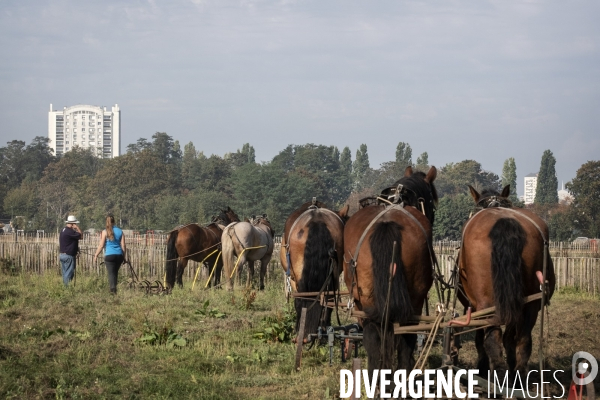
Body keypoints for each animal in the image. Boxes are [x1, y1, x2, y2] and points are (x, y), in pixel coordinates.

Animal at [344, 166, 438, 372]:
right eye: (432, 202)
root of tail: (387, 223)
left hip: (366, 302)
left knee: (372, 339)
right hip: (413, 301)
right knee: (405, 338)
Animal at [460, 184, 556, 378]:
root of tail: (503, 221)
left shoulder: (474, 306)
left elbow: (483, 338)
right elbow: (510, 339)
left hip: (486, 304)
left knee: (493, 338)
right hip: (529, 304)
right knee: (524, 340)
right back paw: (517, 376)